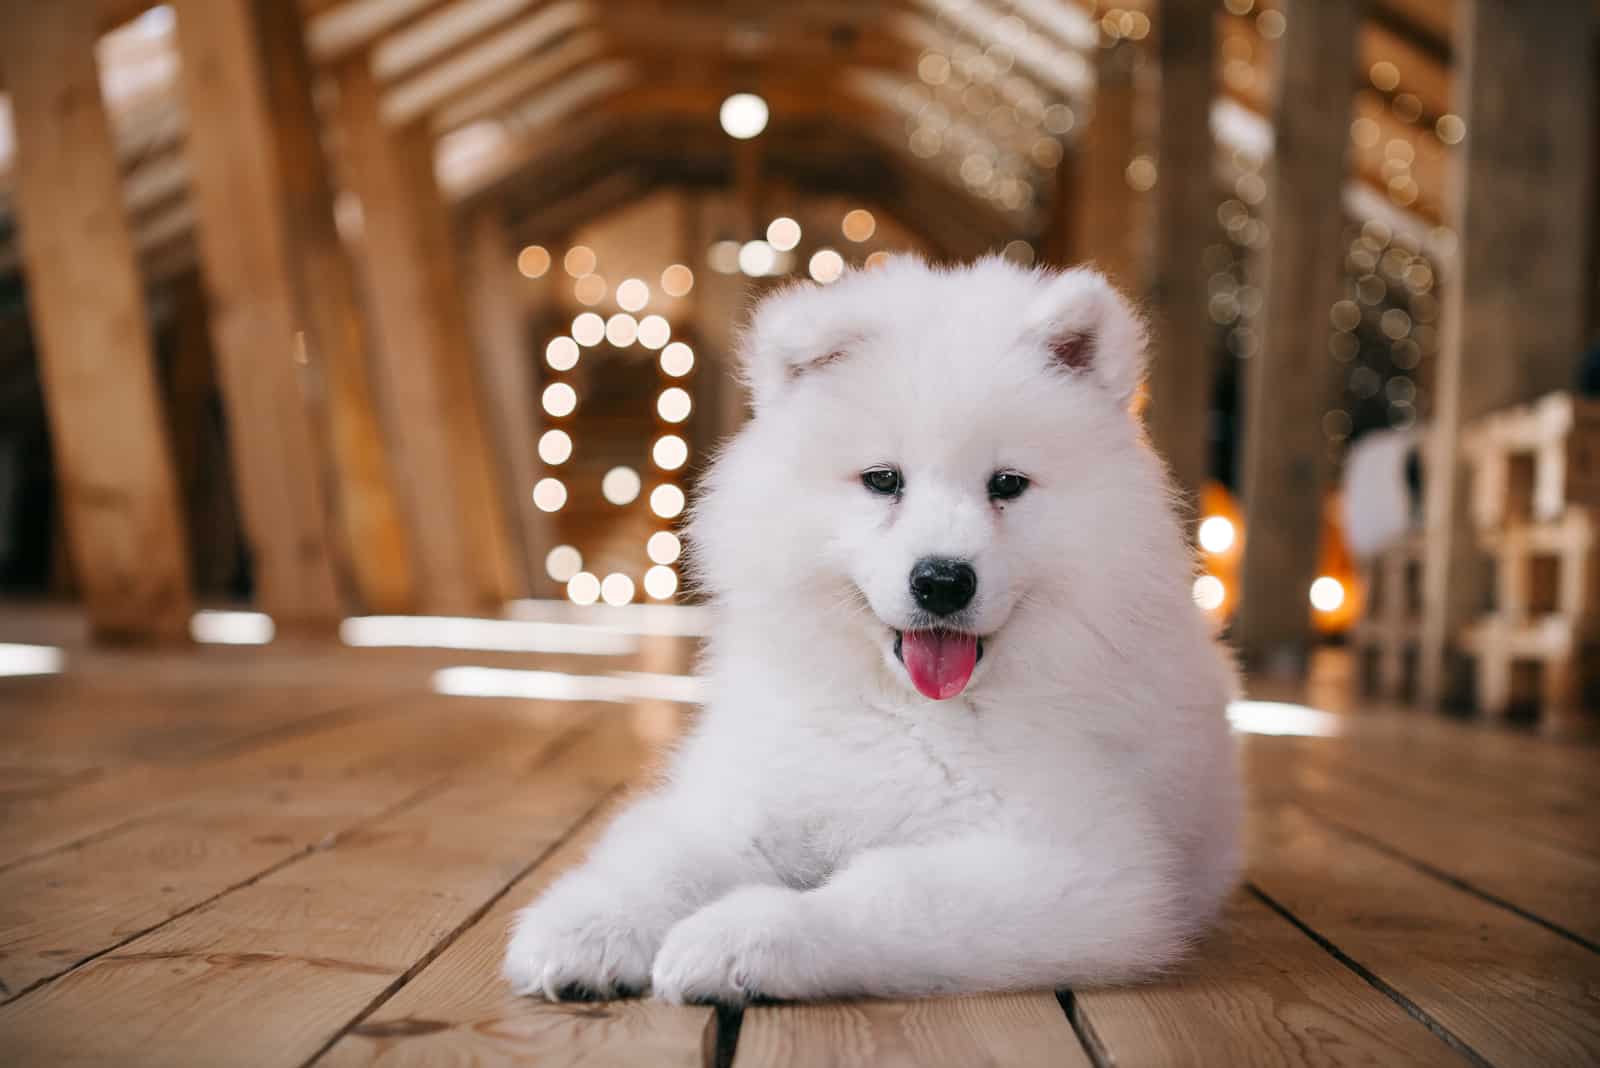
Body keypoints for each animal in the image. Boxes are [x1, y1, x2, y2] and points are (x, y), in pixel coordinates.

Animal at [505, 255, 1241, 1004]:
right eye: (883, 480)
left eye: (1007, 484)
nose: (943, 580)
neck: (900, 712)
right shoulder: (749, 796)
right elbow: (665, 857)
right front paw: (588, 928)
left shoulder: (1077, 865)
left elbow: (885, 894)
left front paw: (740, 938)